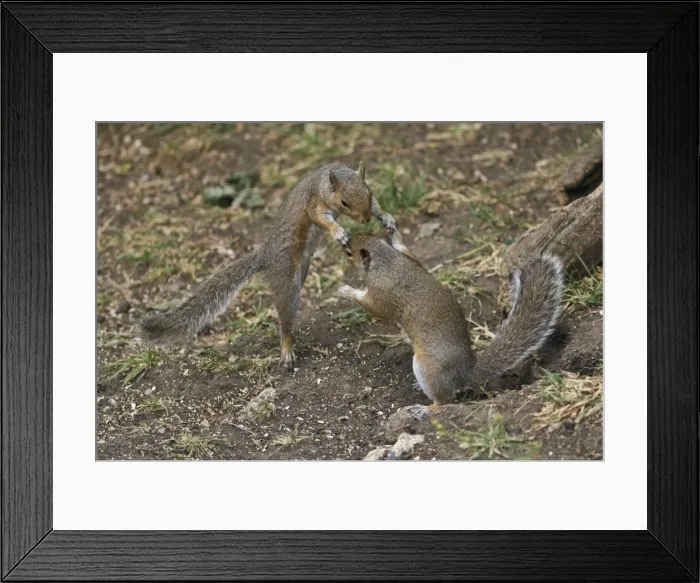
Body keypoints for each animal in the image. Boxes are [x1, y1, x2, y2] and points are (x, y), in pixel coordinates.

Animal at [138, 161, 397, 370]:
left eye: (370, 192)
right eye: (344, 202)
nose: (365, 220)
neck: (327, 179)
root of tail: (265, 256)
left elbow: (378, 207)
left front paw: (386, 216)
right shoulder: (314, 203)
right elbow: (319, 217)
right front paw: (337, 231)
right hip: (286, 282)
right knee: (284, 322)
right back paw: (287, 350)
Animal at [338, 230, 564, 411]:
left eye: (349, 253)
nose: (344, 242)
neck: (386, 262)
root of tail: (467, 371)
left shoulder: (383, 295)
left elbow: (374, 307)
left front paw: (347, 291)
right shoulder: (411, 261)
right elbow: (411, 254)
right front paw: (396, 238)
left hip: (427, 367)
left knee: (445, 400)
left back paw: (425, 409)